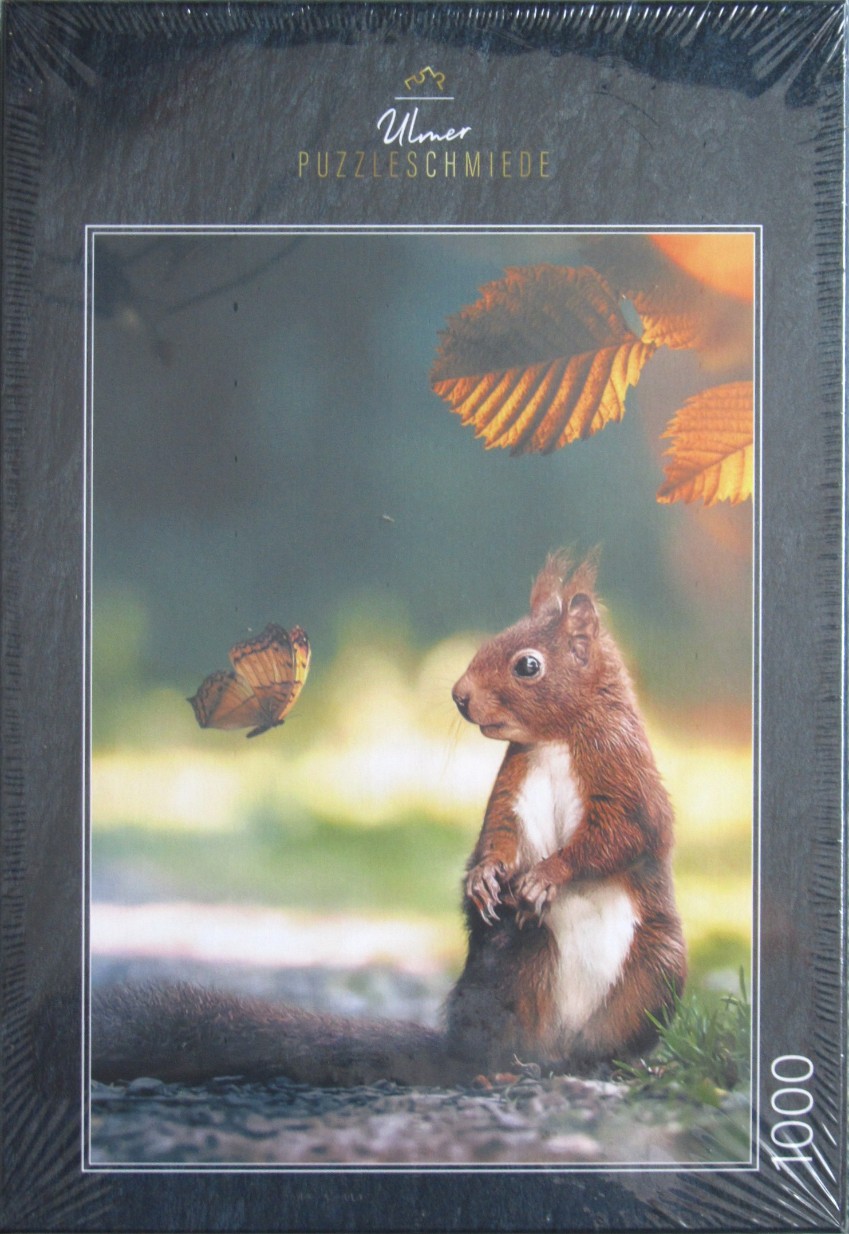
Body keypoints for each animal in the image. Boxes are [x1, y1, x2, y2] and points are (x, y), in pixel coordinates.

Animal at [92, 552, 685, 1087]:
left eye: (528, 664)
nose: (459, 696)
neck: (556, 739)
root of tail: (557, 1050)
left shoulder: (625, 775)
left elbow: (623, 834)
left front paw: (545, 875)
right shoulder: (512, 789)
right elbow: (499, 835)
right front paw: (483, 877)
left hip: (657, 970)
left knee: (611, 1040)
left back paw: (624, 1063)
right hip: (515, 967)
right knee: (497, 1041)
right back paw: (502, 1068)